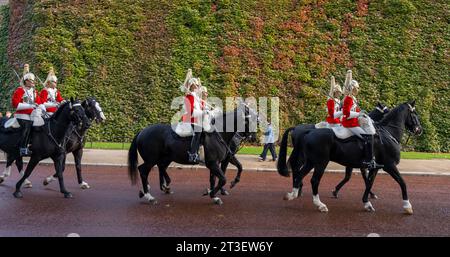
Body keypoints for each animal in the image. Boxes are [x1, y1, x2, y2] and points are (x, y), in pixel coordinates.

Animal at [128, 102, 258, 204]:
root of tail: (142, 131)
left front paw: (216, 193)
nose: (253, 138)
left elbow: (227, 173)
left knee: (160, 167)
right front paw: (212, 194)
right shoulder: (213, 163)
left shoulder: (218, 162)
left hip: (165, 158)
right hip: (151, 159)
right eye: (250, 120)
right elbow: (222, 179)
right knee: (143, 171)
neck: (219, 134)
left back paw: (157, 189)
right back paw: (149, 196)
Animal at [278, 101, 422, 213]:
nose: (419, 129)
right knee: (313, 180)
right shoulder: (389, 166)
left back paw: (293, 193)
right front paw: (407, 205)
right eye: (414, 114)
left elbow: (368, 182)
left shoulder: (373, 167)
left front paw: (367, 202)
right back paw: (319, 204)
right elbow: (402, 182)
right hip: (320, 162)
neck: (388, 133)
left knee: (300, 173)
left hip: (311, 161)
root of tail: (307, 131)